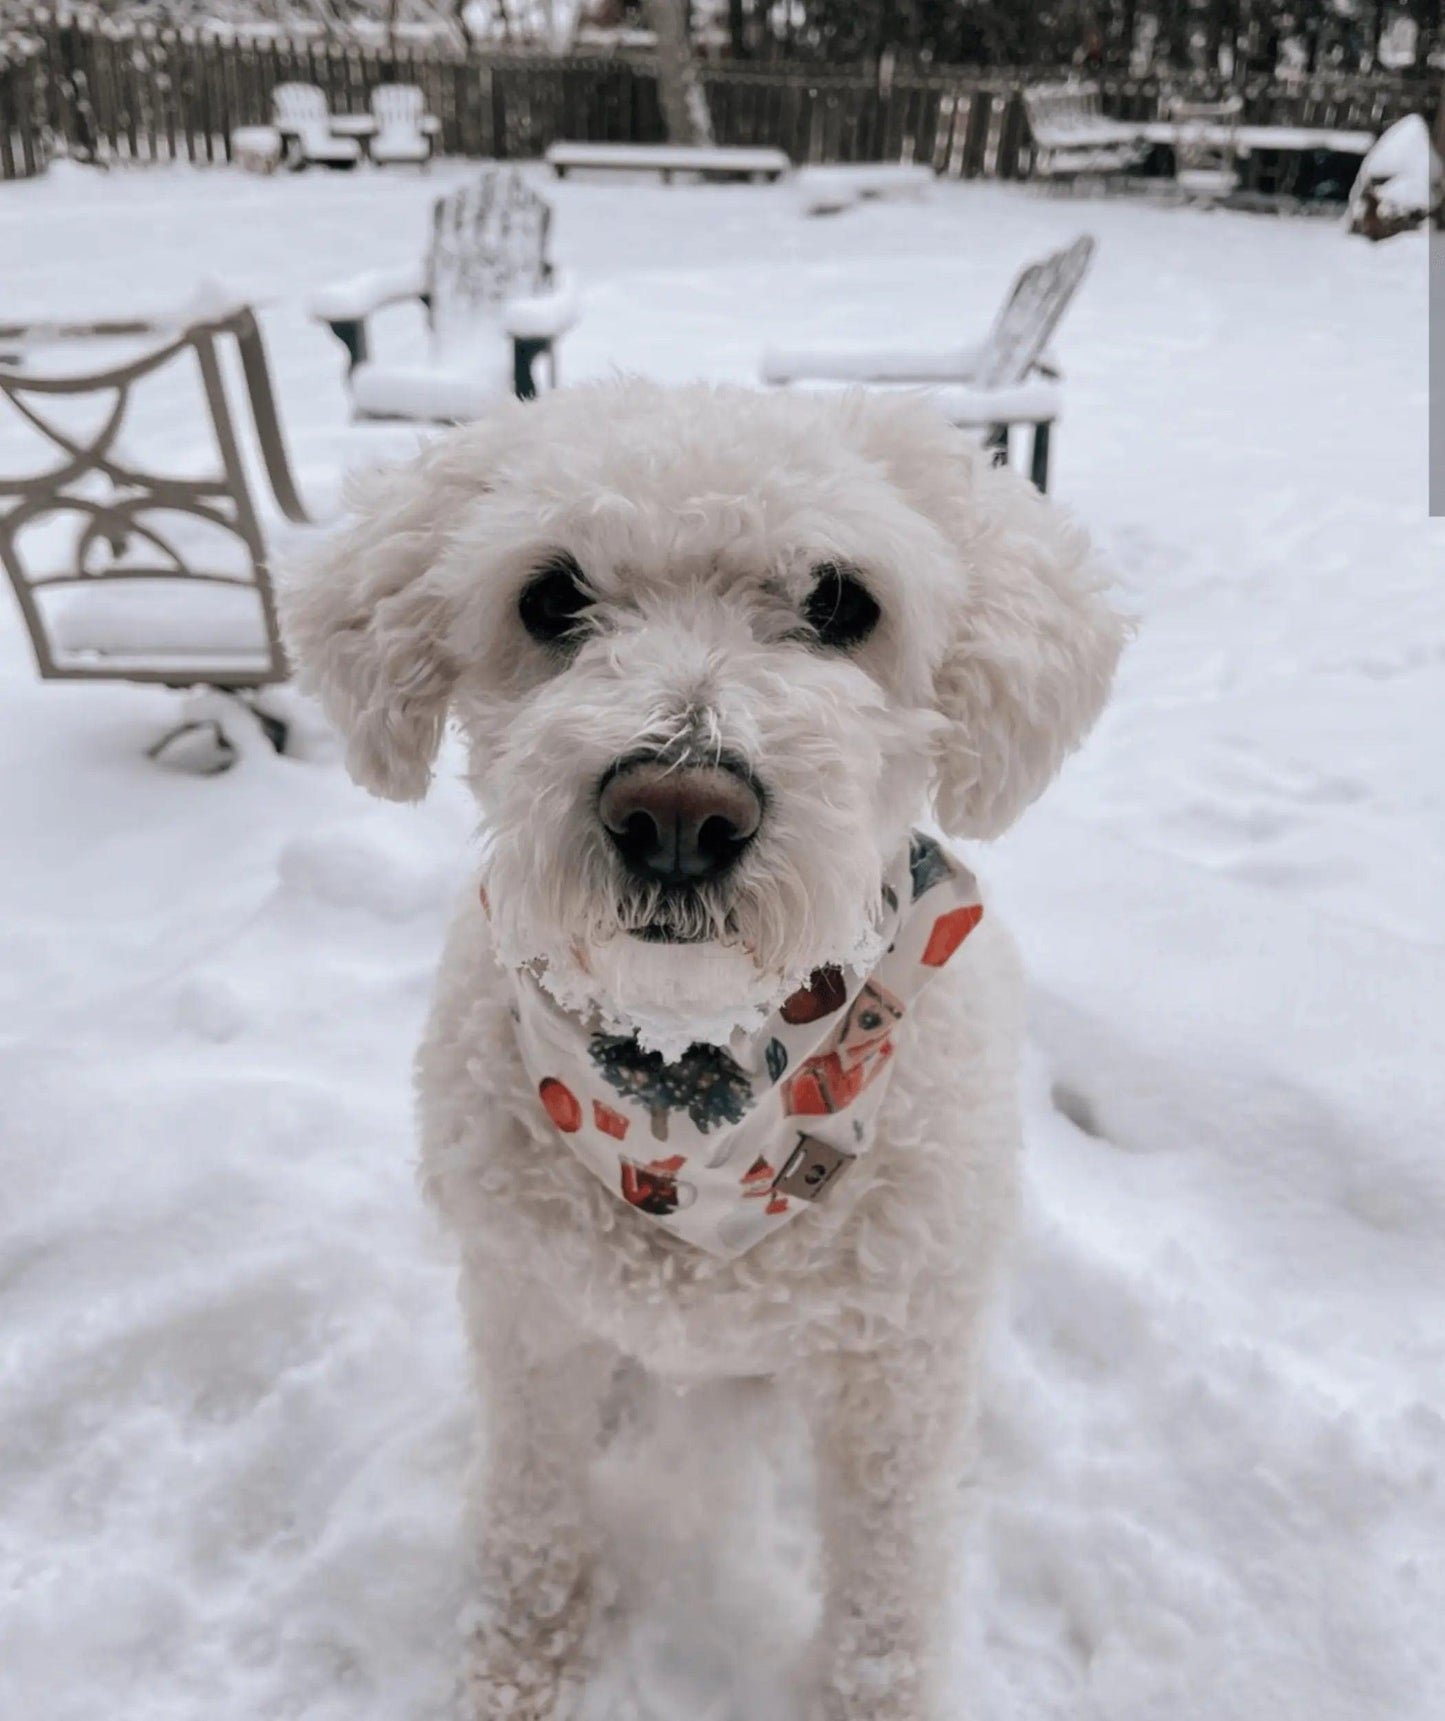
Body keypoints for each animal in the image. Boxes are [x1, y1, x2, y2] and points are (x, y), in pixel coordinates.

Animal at [276, 380, 1121, 1721]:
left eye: (841, 600)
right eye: (549, 595)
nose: (677, 814)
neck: (695, 1079)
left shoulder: (895, 1372)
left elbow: (885, 1580)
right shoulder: (526, 1314)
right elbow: (531, 1504)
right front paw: (517, 1663)